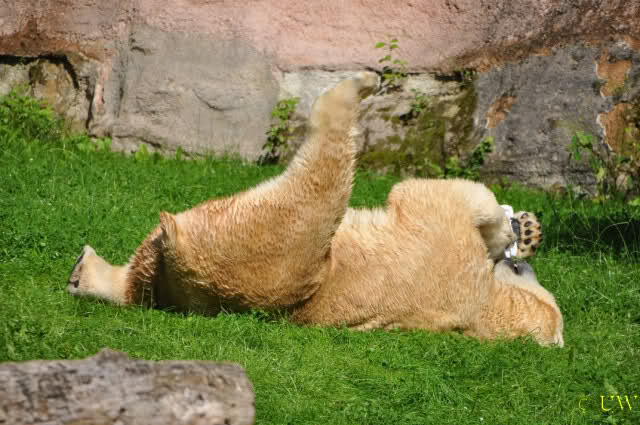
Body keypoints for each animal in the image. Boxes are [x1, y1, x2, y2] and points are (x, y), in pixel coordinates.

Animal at [68, 72, 562, 347]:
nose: (524, 265)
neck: (485, 307)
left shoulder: (446, 242)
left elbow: (435, 193)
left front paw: (508, 230)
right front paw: (526, 229)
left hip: (271, 248)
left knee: (319, 183)